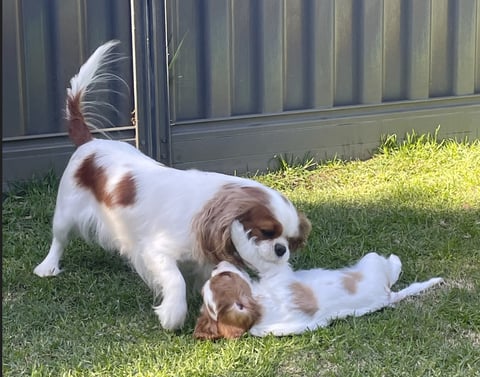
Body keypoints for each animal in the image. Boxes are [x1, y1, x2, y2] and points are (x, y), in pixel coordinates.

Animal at [33, 41, 312, 328]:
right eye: (266, 232)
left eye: (290, 240)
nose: (280, 250)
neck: (208, 208)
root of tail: (90, 142)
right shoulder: (156, 250)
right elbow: (175, 279)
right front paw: (172, 313)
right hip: (66, 211)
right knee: (59, 240)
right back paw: (48, 267)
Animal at [192, 220, 442, 338]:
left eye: (222, 275)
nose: (219, 265)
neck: (259, 305)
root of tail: (388, 297)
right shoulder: (274, 271)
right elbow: (251, 252)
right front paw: (236, 228)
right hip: (371, 262)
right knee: (391, 268)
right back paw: (395, 258)